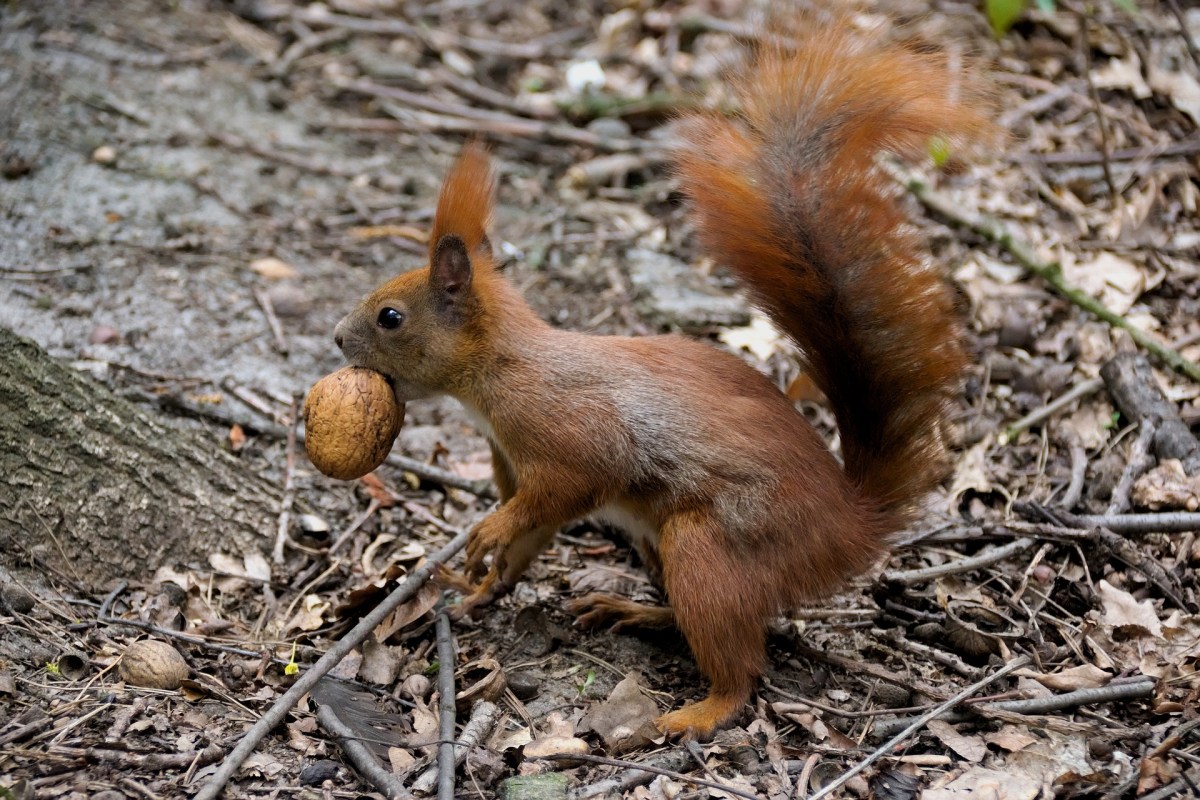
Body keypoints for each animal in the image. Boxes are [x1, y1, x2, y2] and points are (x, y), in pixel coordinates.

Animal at [333, 21, 993, 738]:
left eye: (390, 317)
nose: (336, 339)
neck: (499, 372)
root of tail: (852, 526)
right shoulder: (512, 458)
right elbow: (531, 537)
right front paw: (478, 587)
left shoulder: (568, 433)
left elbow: (562, 489)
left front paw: (489, 531)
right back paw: (635, 613)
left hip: (707, 548)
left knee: (740, 668)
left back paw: (697, 712)